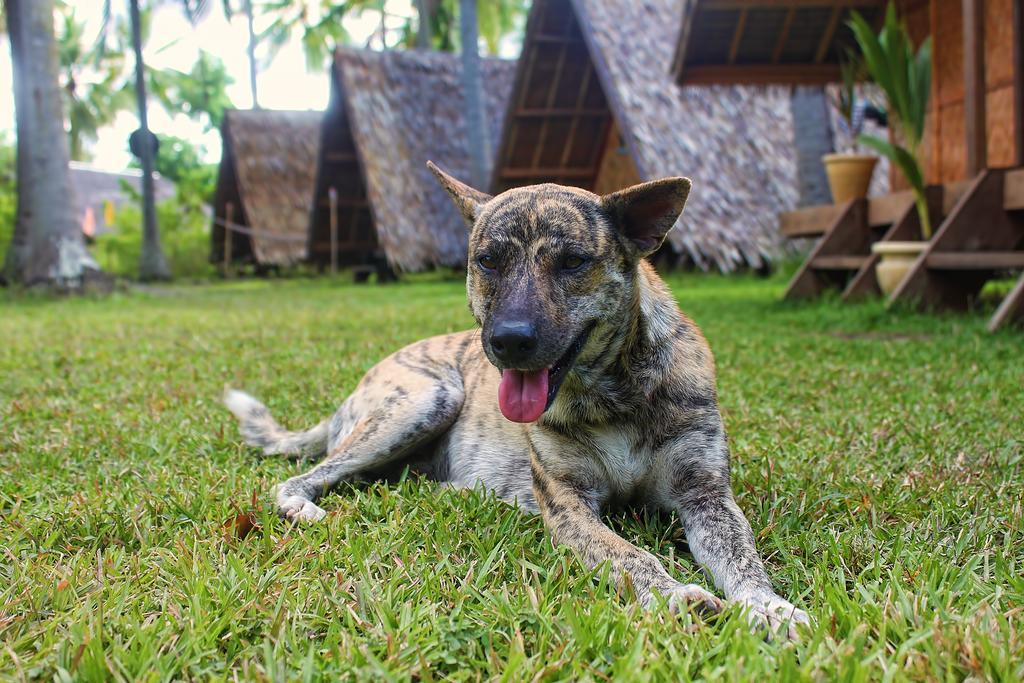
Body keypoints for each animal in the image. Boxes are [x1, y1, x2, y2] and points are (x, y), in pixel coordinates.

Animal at [224, 162, 806, 638]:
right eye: (487, 261)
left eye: (573, 262)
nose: (508, 341)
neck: (611, 394)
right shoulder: (569, 506)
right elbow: (629, 555)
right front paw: (676, 596)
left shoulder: (705, 496)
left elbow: (743, 558)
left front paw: (768, 606)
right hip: (426, 400)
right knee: (302, 476)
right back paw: (302, 506)